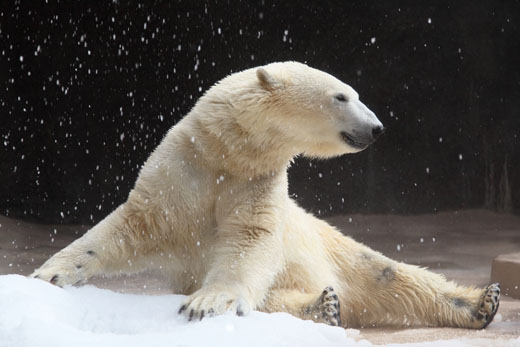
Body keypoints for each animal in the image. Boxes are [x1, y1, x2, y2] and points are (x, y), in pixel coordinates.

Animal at [31, 61, 500, 330]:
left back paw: (482, 302)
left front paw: (207, 303)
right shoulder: (182, 172)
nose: (376, 127)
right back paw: (324, 306)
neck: (225, 151)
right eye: (342, 95)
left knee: (391, 275)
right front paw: (47, 274)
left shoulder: (258, 182)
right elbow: (134, 223)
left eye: (355, 94)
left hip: (328, 244)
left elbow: (249, 239)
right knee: (285, 297)